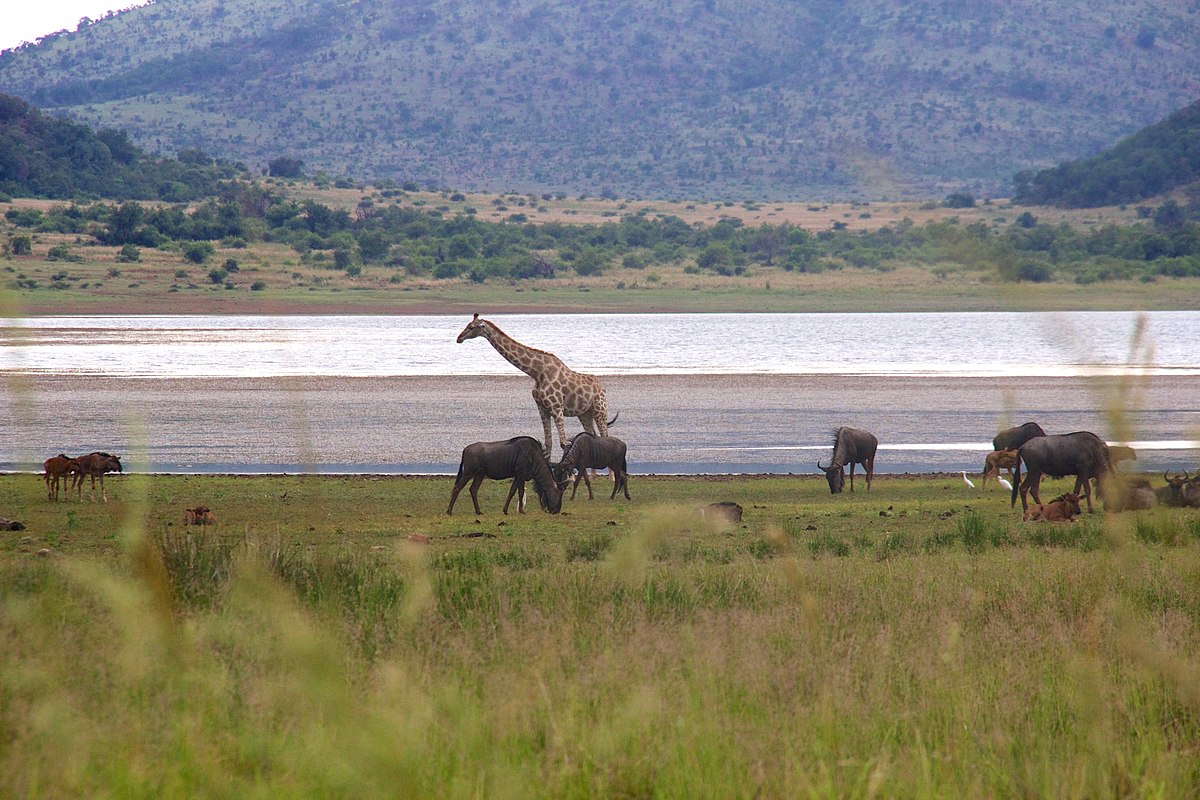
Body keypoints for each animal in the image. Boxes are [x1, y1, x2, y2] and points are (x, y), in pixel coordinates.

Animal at [456, 316, 614, 460]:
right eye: (467, 325)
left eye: (471, 327)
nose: (459, 338)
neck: (538, 373)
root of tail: (602, 387)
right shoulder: (542, 408)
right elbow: (548, 443)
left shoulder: (557, 407)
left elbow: (563, 443)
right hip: (584, 413)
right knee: (593, 436)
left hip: (600, 409)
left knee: (606, 437)